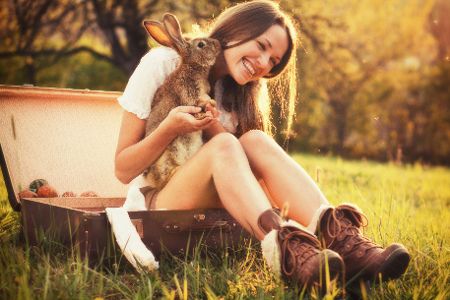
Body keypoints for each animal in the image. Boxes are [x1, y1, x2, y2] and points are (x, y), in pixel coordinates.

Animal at [142, 14, 221, 190]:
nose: (218, 44)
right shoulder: (190, 91)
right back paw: (175, 172)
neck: (192, 66)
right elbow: (200, 102)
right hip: (168, 154)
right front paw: (210, 107)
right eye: (201, 44)